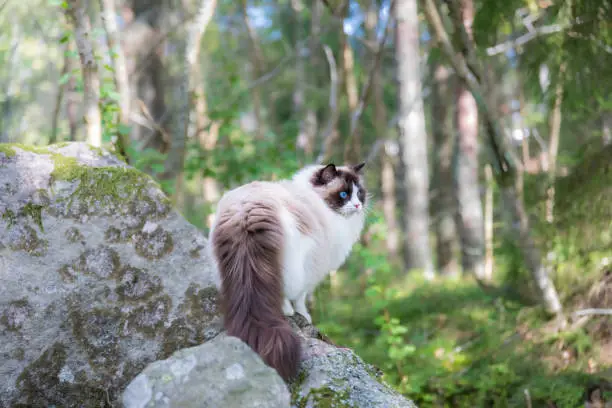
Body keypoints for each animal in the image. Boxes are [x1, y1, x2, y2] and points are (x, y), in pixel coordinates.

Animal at [208, 161, 366, 380]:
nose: (358, 205)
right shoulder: (311, 268)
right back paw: (287, 311)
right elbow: (301, 299)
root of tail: (247, 210)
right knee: (283, 291)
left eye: (359, 194)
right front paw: (303, 315)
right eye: (344, 194)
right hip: (292, 265)